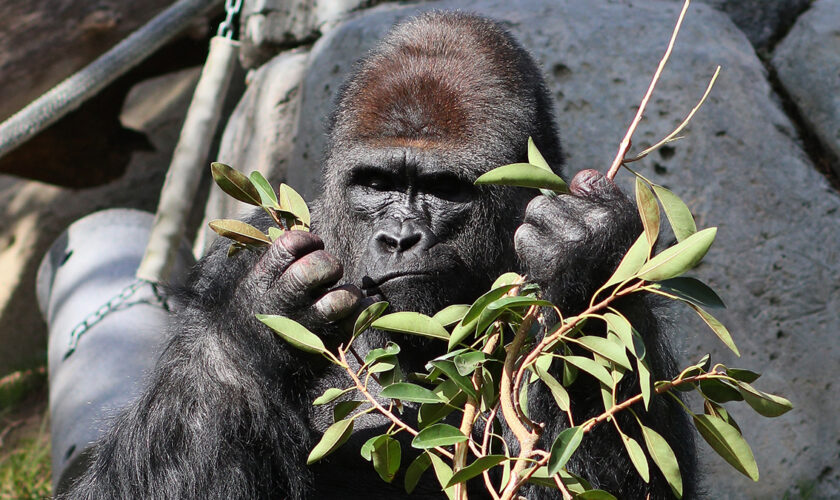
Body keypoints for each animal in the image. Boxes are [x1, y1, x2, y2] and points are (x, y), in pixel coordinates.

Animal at [59, 10, 700, 500]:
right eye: (375, 183)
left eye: (444, 189)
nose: (398, 238)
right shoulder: (230, 259)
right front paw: (259, 317)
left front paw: (580, 259)